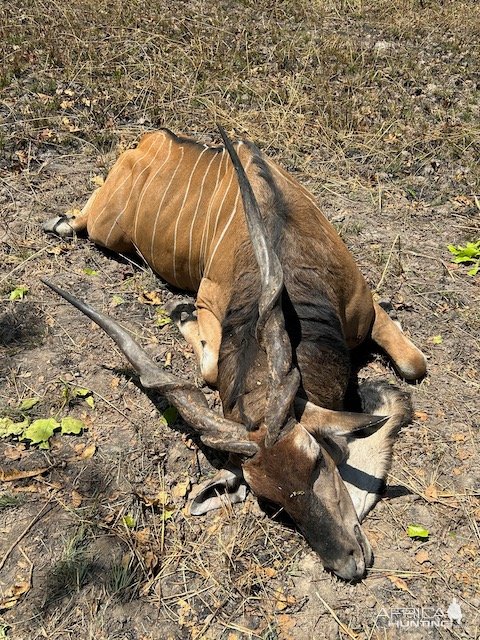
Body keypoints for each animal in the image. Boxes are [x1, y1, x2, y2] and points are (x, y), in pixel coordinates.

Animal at [44, 126, 428, 580]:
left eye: (318, 459)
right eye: (272, 500)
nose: (347, 563)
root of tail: (153, 138)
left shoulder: (368, 310)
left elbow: (414, 365)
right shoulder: (211, 304)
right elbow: (209, 366)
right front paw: (181, 314)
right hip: (107, 230)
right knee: (78, 223)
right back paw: (64, 224)